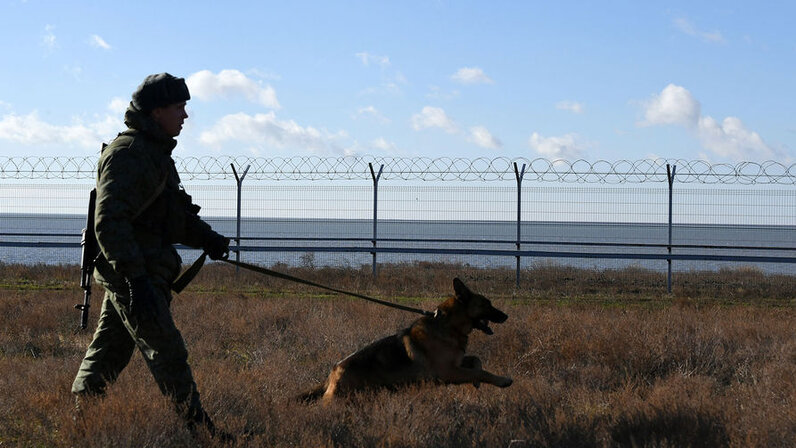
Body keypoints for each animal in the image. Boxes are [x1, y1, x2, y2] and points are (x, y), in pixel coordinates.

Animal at [302, 278, 512, 404]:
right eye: (487, 304)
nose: (506, 316)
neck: (449, 325)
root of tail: (333, 372)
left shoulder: (457, 364)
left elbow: (477, 361)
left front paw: (476, 380)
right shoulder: (449, 372)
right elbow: (482, 372)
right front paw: (502, 380)